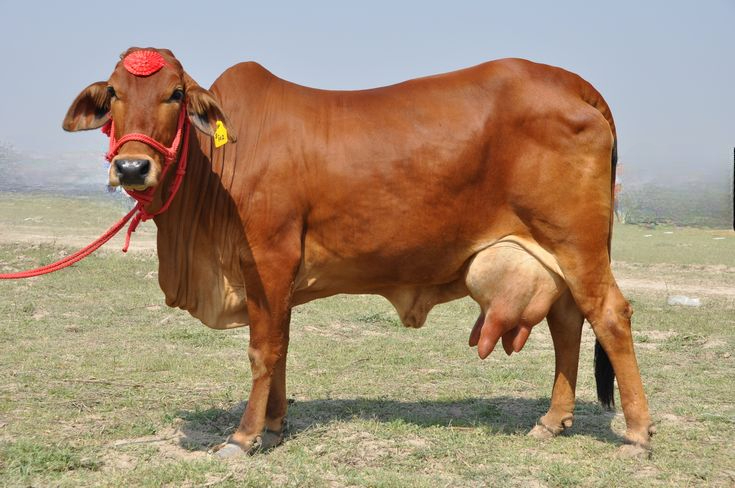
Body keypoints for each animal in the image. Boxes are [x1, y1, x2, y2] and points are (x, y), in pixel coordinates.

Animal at [62, 47, 654, 457]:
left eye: (175, 95)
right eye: (114, 94)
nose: (132, 167)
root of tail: (570, 82)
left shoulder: (269, 260)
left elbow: (262, 351)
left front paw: (244, 436)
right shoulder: (276, 279)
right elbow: (281, 346)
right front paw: (274, 427)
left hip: (577, 246)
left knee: (609, 315)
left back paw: (638, 433)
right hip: (554, 254)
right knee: (567, 323)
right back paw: (553, 421)